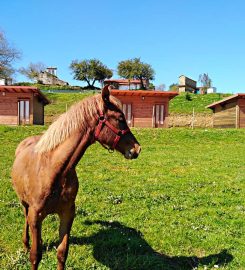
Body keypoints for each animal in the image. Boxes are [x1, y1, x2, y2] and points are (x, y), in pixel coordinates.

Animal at [11, 86, 141, 268]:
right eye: (120, 118)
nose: (137, 149)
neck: (54, 170)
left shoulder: (67, 214)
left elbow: (62, 253)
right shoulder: (35, 216)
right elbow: (35, 255)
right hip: (24, 203)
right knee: (25, 219)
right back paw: (25, 243)